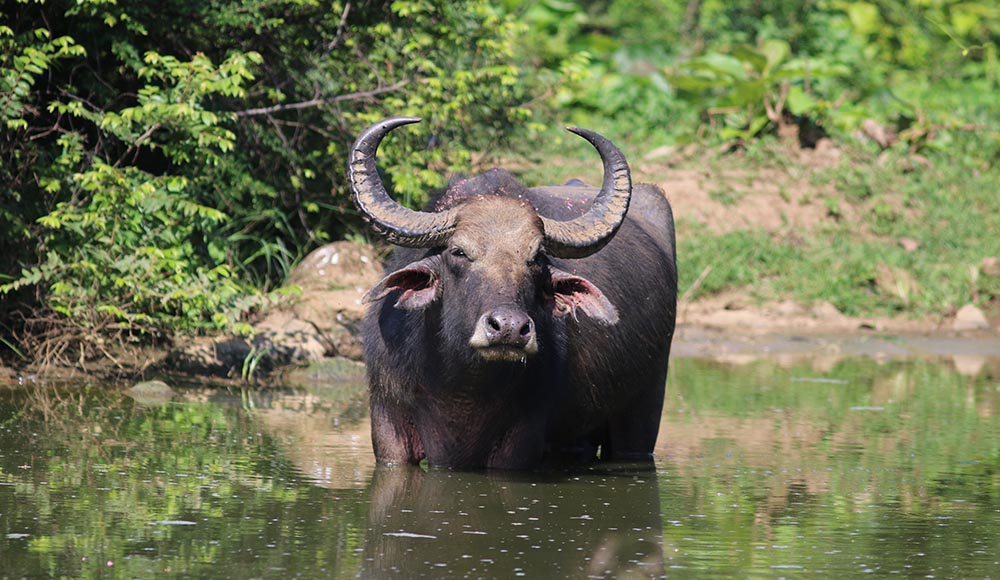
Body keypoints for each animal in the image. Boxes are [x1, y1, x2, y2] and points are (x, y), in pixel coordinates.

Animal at [348, 118, 676, 472]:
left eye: (536, 257)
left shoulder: (520, 441)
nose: (508, 328)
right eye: (458, 251)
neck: (459, 387)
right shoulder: (389, 427)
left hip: (644, 410)